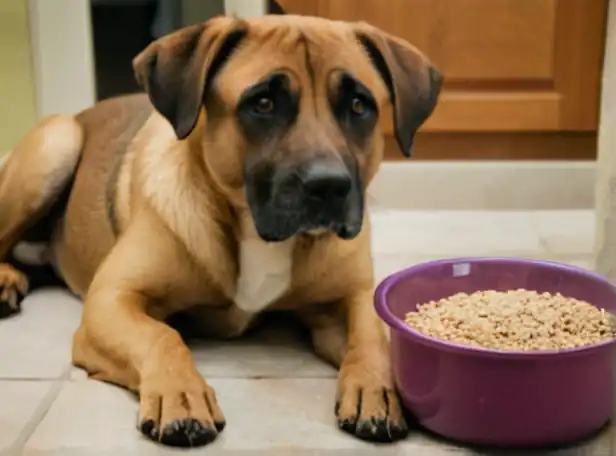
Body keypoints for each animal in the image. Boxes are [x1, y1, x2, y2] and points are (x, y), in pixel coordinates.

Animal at [0, 15, 442, 448]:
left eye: (359, 105)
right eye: (263, 103)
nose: (329, 186)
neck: (256, 234)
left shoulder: (349, 298)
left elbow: (371, 335)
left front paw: (376, 386)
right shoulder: (112, 301)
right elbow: (161, 335)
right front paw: (179, 394)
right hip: (55, 146)